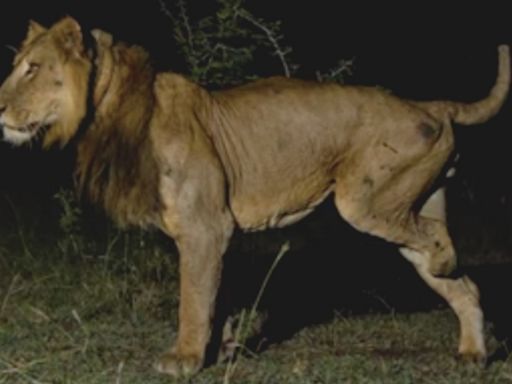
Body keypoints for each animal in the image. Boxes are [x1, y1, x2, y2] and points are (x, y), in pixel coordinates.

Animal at [0, 17, 508, 376]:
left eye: (32, 68)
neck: (108, 111)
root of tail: (426, 104)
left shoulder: (205, 227)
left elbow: (193, 298)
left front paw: (185, 358)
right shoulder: (216, 231)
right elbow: (216, 294)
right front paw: (220, 350)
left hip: (365, 202)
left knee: (440, 243)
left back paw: (447, 265)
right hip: (405, 206)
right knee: (464, 285)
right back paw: (472, 353)